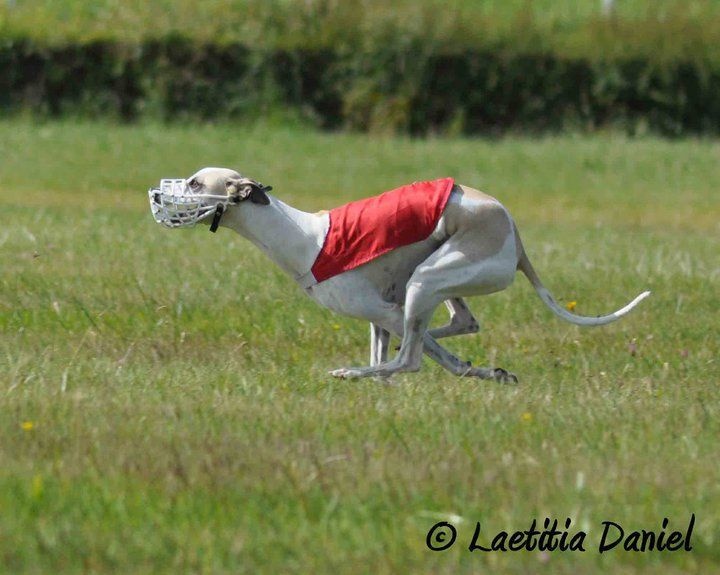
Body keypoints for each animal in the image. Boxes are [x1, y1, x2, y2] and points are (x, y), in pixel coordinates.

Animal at [149, 166, 648, 382]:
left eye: (195, 184)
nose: (155, 194)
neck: (301, 236)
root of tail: (514, 231)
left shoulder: (381, 311)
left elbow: (419, 359)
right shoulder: (379, 317)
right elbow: (393, 352)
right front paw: (485, 370)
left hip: (430, 277)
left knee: (414, 353)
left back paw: (352, 372)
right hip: (431, 279)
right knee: (461, 321)